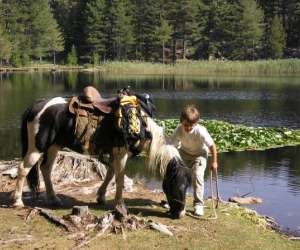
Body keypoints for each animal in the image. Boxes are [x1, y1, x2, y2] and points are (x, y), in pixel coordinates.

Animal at [11, 86, 188, 217]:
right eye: (176, 184)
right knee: (23, 169)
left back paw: (53, 199)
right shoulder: (121, 153)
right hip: (36, 148)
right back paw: (18, 201)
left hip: (54, 146)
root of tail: (36, 105)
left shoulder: (116, 153)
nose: (180, 214)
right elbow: (119, 179)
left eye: (187, 186)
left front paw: (101, 197)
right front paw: (120, 205)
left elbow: (110, 174)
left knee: (46, 169)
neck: (140, 123)